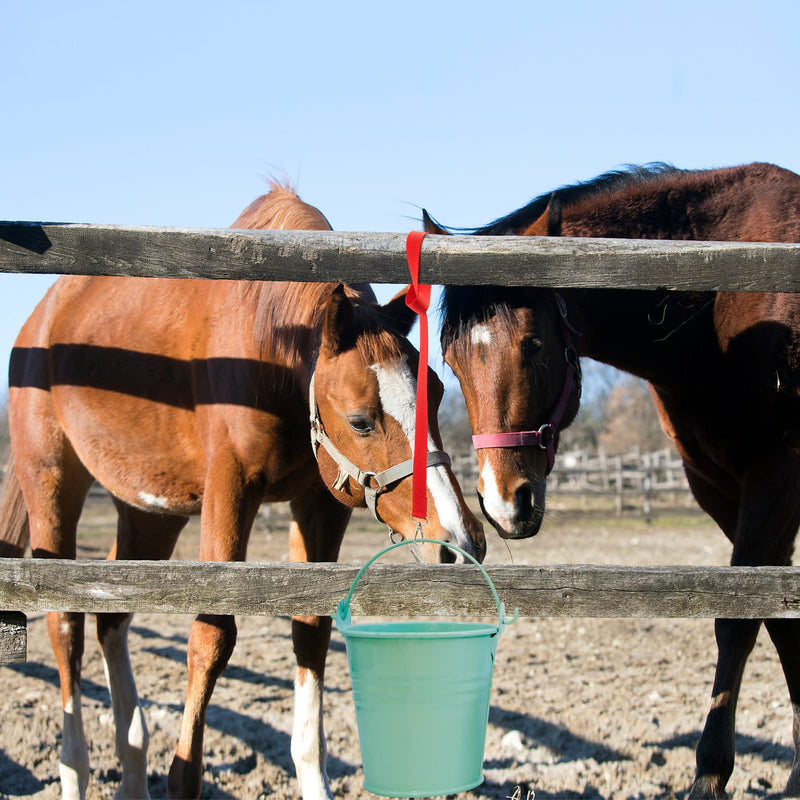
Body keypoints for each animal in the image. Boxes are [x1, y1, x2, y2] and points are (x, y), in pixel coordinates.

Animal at [0, 183, 484, 800]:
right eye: (361, 420)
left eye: (437, 391)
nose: (460, 542)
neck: (269, 345)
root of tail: (37, 322)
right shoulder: (231, 490)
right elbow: (212, 636)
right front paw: (183, 774)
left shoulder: (321, 505)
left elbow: (311, 631)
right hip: (52, 485)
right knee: (65, 625)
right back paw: (74, 768)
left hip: (150, 510)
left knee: (112, 617)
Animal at [428, 159, 800, 796]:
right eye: (451, 359)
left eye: (533, 344)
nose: (504, 504)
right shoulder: (722, 490)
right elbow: (780, 621)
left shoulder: (778, 476)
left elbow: (739, 622)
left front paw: (710, 774)